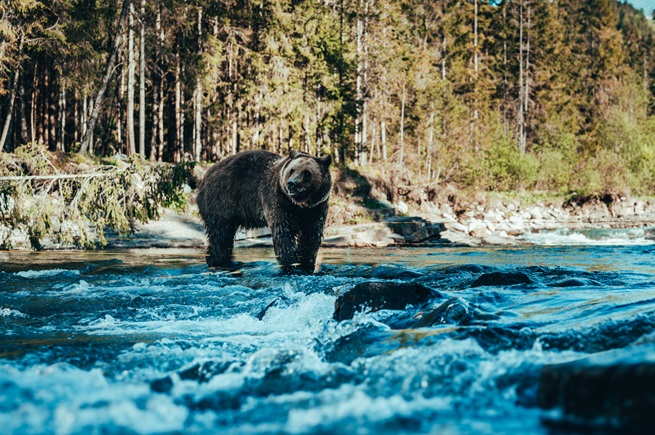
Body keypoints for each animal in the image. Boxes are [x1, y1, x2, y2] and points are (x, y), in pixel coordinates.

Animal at [196, 149, 334, 272]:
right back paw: (217, 262)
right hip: (221, 200)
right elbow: (284, 232)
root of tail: (205, 176)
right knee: (220, 234)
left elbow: (311, 234)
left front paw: (306, 264)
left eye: (307, 173)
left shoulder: (316, 208)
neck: (300, 204)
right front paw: (290, 264)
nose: (291, 183)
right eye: (292, 170)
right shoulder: (279, 201)